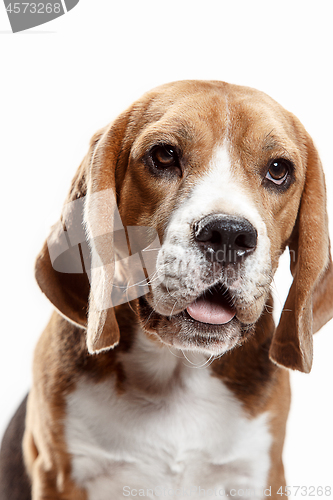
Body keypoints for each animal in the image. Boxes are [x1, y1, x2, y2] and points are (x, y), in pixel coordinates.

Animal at [0, 81, 332, 500]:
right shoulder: (60, 475)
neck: (176, 372)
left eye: (278, 170)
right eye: (164, 155)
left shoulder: (260, 474)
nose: (228, 234)